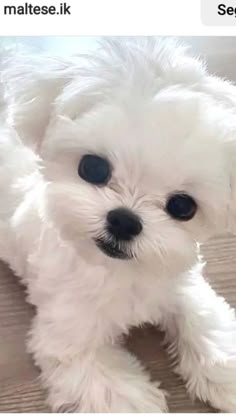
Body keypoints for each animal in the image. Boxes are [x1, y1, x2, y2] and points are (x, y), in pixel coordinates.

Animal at [0, 37, 236, 412]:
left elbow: (203, 318)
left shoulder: (178, 283)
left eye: (183, 207)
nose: (125, 221)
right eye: (93, 168)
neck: (123, 272)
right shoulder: (67, 333)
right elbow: (106, 383)